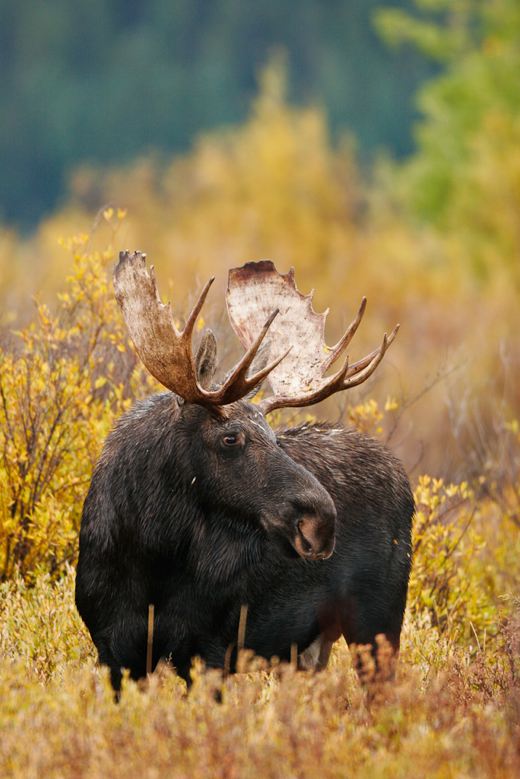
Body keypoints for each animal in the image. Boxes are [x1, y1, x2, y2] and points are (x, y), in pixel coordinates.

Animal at [75, 251, 414, 696]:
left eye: (274, 435)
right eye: (230, 437)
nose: (322, 521)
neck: (146, 554)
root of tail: (402, 476)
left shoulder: (211, 649)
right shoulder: (113, 649)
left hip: (378, 623)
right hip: (310, 648)